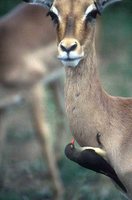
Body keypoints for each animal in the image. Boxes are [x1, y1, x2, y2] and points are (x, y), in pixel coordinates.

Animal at [0, 3, 64, 200]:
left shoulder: (34, 89)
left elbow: (42, 135)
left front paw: (57, 192)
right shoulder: (4, 109)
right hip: (54, 79)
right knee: (62, 110)